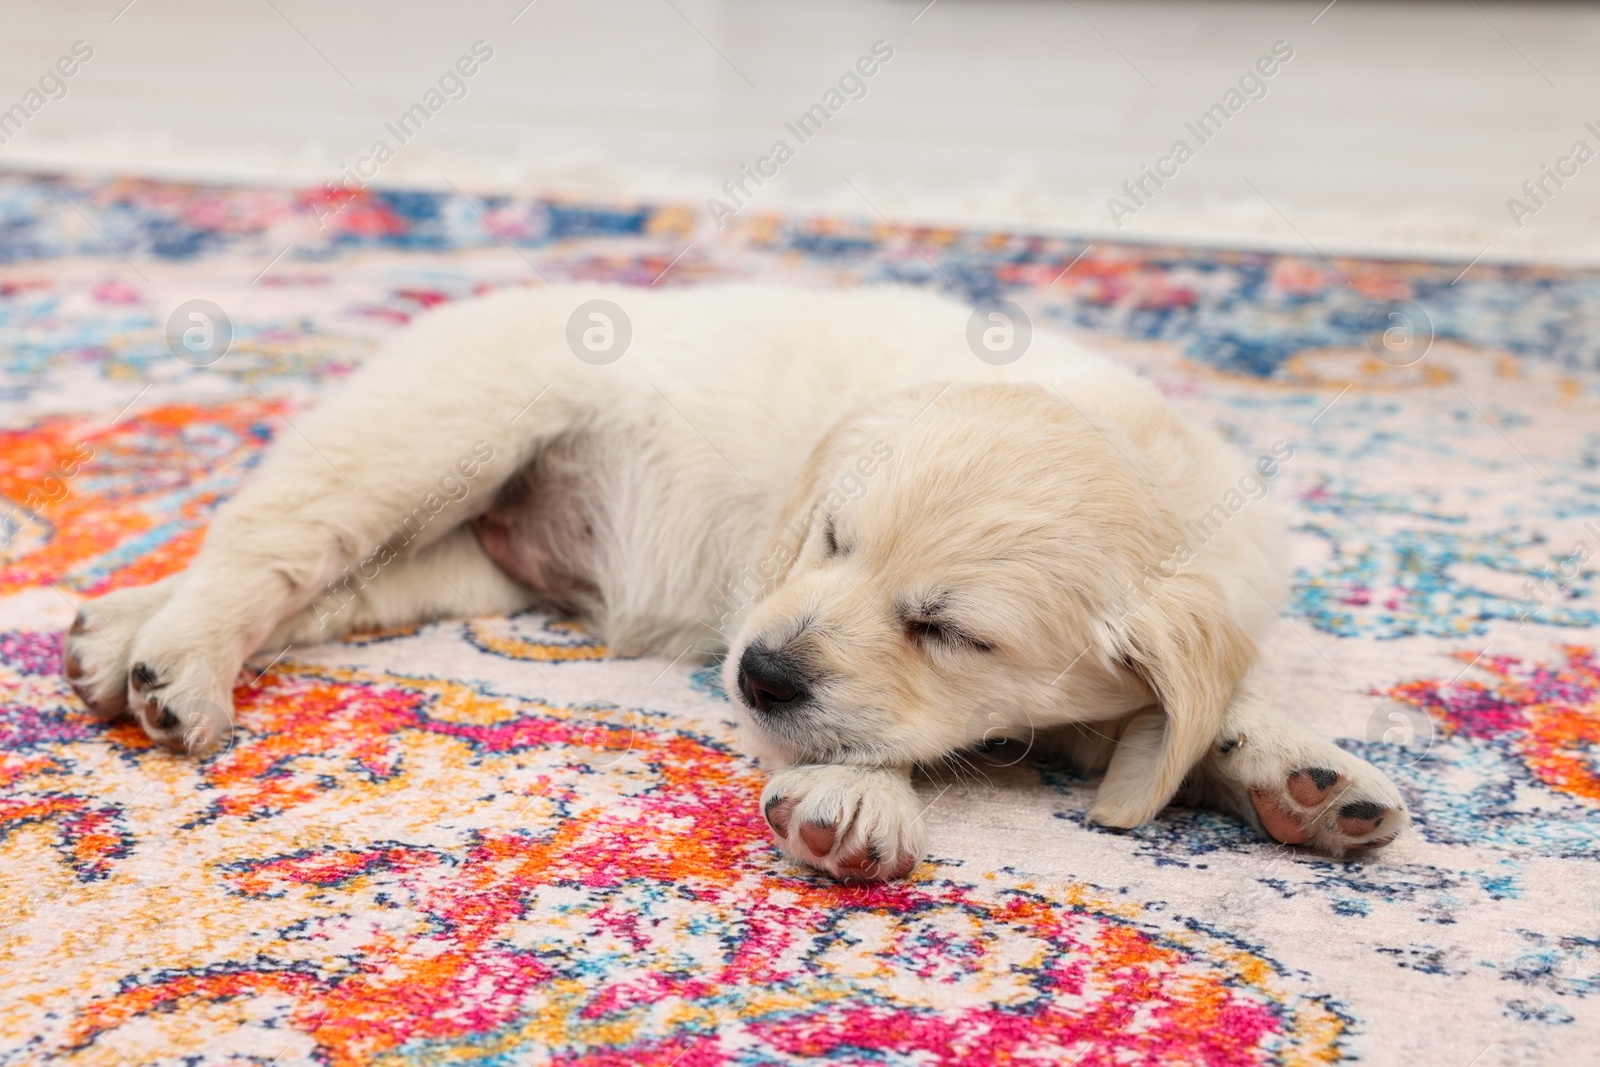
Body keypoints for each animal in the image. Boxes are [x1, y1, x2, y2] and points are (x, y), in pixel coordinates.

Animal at [62, 283, 1408, 883]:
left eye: (948, 629)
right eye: (831, 538)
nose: (755, 670)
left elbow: (1181, 711)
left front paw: (1291, 771)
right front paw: (858, 799)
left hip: (450, 557)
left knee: (318, 582)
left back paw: (116, 636)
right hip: (436, 433)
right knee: (265, 543)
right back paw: (178, 663)